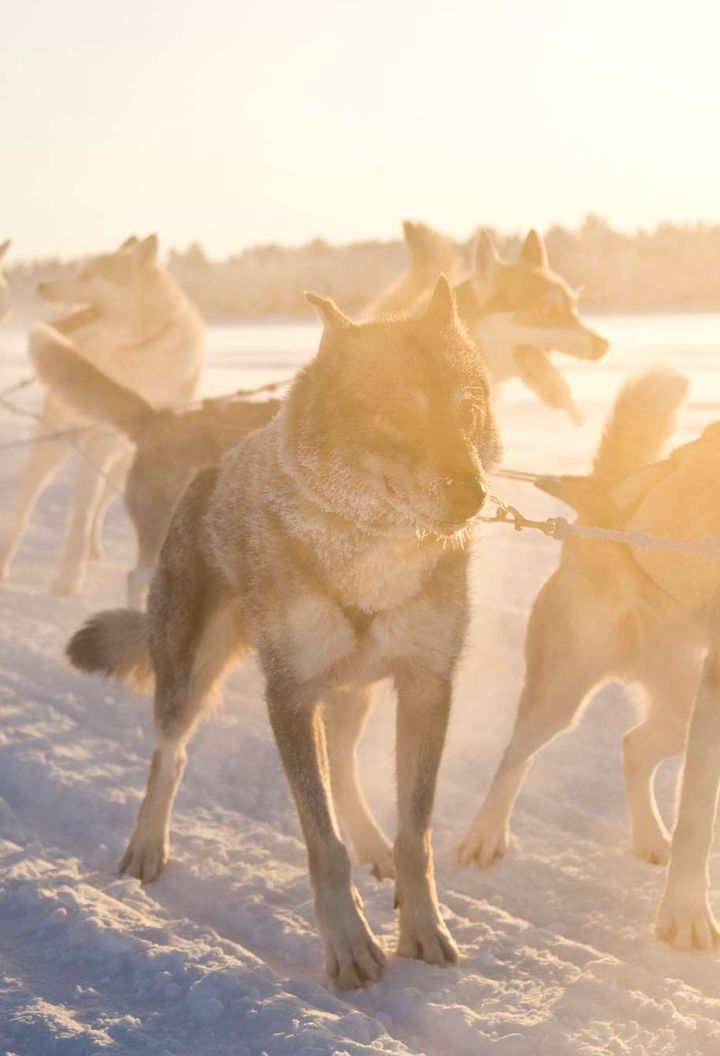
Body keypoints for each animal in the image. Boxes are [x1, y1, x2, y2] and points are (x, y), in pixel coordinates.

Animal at [0, 235, 204, 595]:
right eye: (77, 270)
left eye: (87, 276)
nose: (41, 285)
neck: (137, 348)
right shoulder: (95, 444)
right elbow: (78, 519)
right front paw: (68, 581)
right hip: (56, 447)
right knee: (26, 509)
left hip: (122, 464)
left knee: (101, 506)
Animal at [68, 280, 498, 988]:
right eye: (399, 414)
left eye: (467, 410)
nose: (474, 494)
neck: (369, 552)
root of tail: (205, 469)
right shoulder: (291, 697)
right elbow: (323, 843)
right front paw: (348, 944)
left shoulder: (427, 687)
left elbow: (416, 835)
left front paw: (422, 926)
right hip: (193, 676)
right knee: (170, 755)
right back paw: (147, 847)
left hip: (354, 689)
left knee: (345, 766)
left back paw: (373, 845)